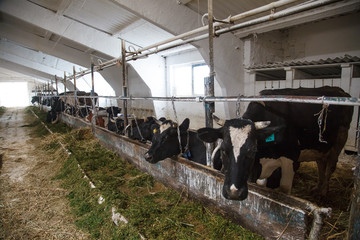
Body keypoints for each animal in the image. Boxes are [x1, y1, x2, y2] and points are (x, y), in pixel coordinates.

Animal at [197, 86, 352, 201]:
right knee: (321, 163)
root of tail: (340, 91)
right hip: (321, 147)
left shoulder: (291, 159)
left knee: (330, 166)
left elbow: (284, 189)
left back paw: (323, 192)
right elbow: (262, 185)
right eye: (223, 150)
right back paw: (317, 189)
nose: (233, 193)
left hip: (341, 137)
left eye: (253, 150)